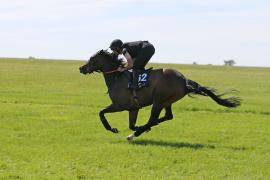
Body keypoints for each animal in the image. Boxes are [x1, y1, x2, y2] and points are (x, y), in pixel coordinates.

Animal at [78, 49, 240, 141]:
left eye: (92, 59)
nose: (81, 68)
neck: (117, 77)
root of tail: (184, 80)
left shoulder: (120, 105)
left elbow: (101, 113)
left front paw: (113, 129)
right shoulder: (133, 108)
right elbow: (131, 124)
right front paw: (136, 127)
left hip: (158, 101)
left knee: (153, 118)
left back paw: (135, 134)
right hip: (167, 101)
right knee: (167, 116)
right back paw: (145, 128)